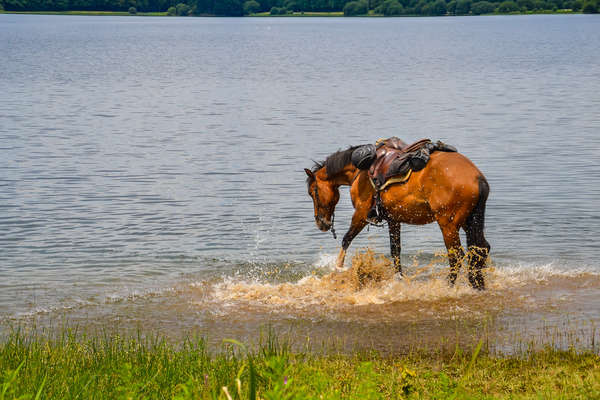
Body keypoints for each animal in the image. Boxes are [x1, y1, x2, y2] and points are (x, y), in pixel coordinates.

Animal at [304, 142, 492, 290]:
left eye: (313, 192)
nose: (321, 223)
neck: (361, 171)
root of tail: (477, 177)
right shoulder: (393, 220)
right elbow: (395, 251)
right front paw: (398, 278)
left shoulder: (361, 214)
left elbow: (346, 240)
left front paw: (338, 267)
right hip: (468, 221)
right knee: (480, 250)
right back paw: (477, 284)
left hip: (448, 225)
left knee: (456, 256)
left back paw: (449, 286)